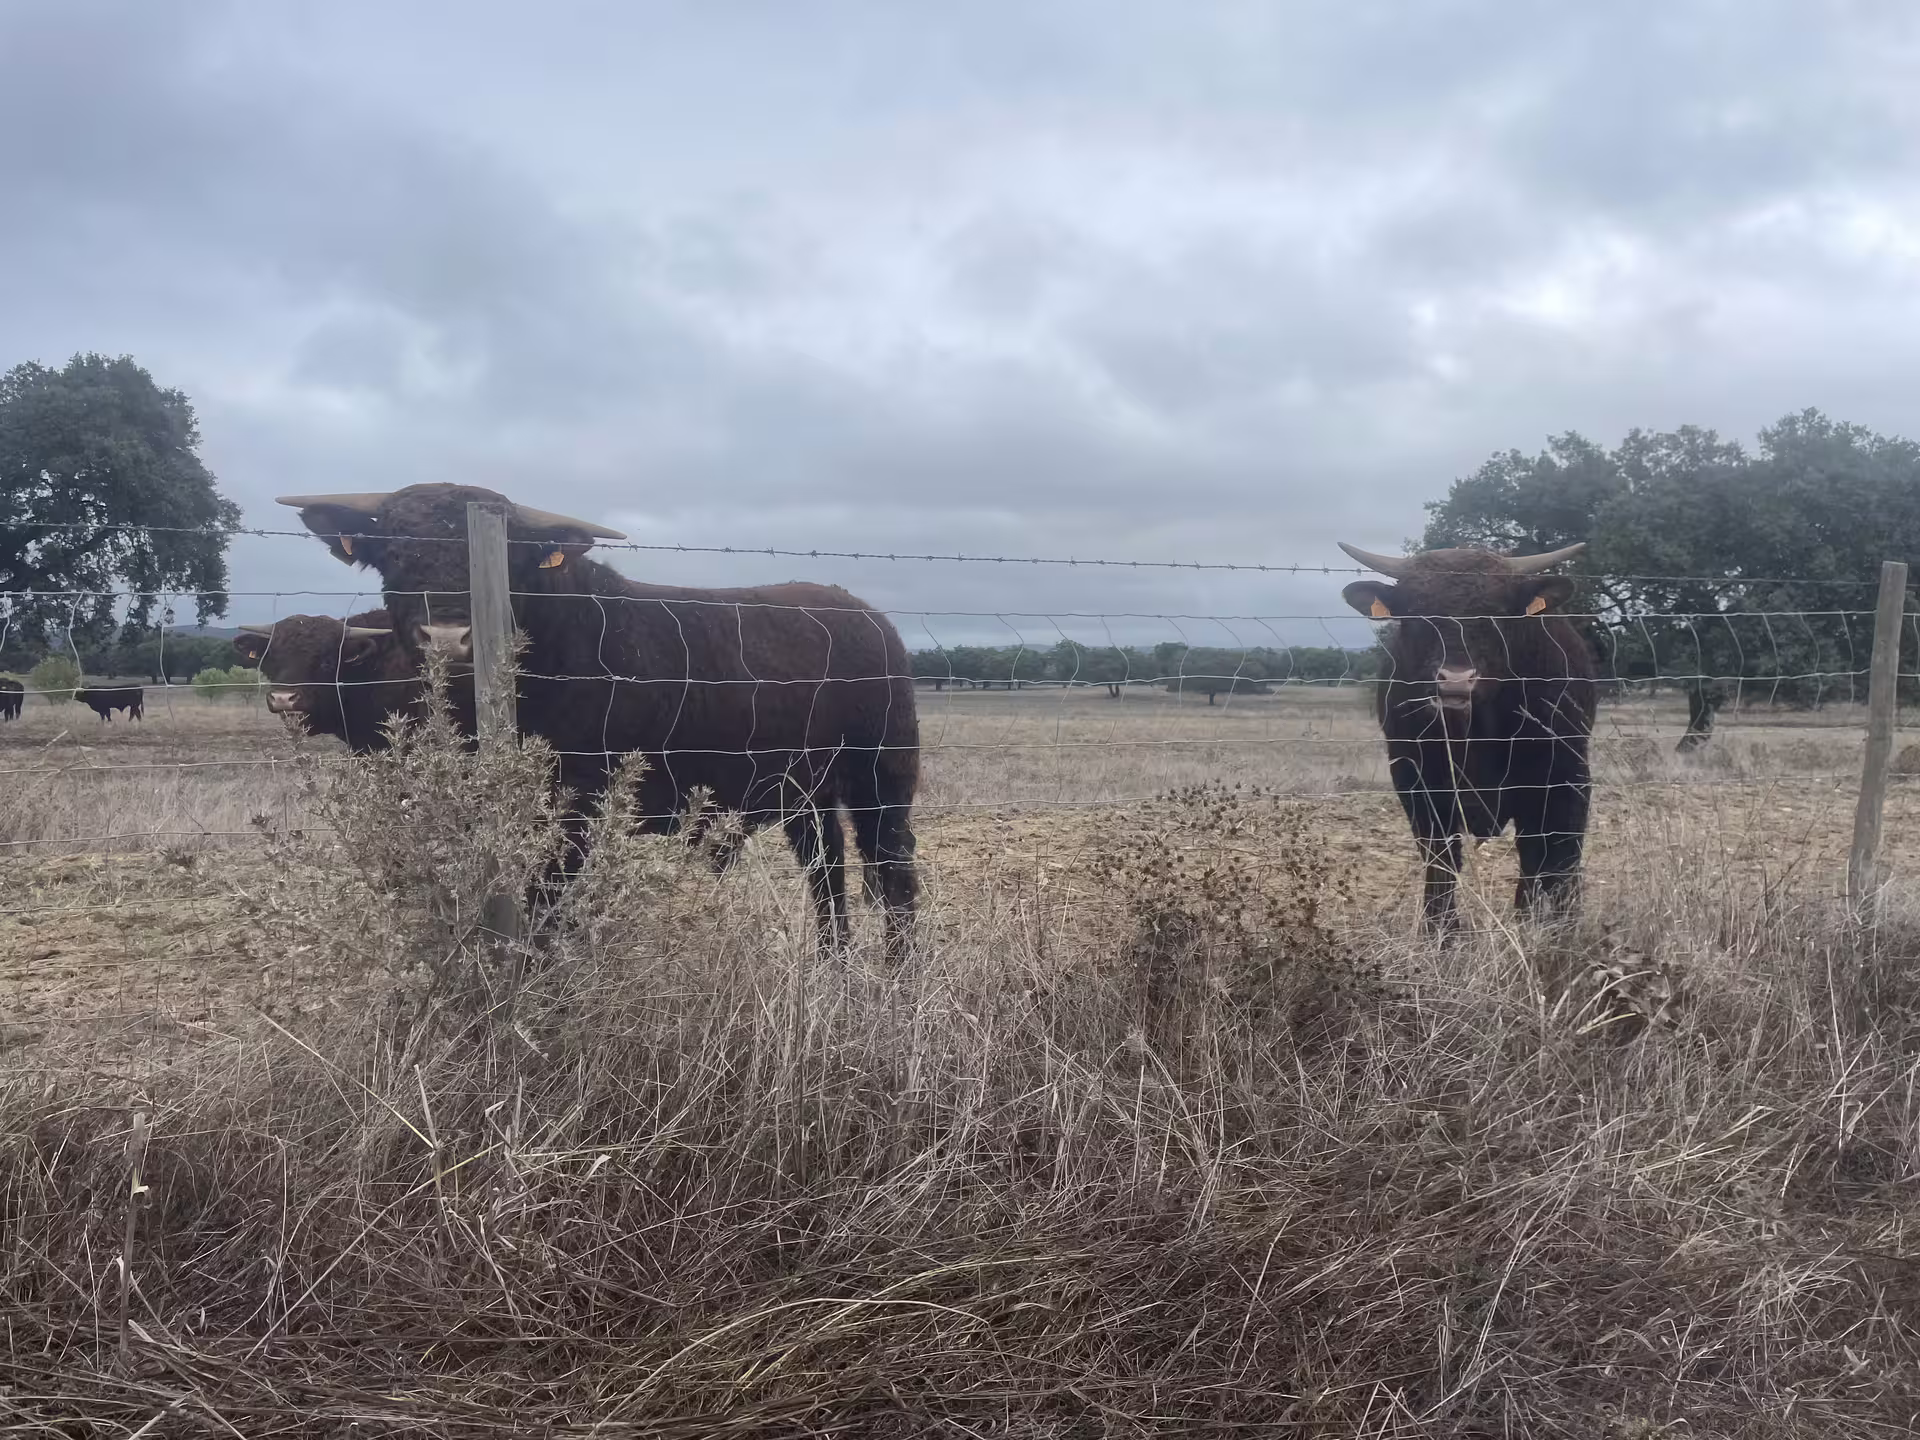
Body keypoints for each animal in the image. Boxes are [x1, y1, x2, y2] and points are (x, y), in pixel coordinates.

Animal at [277, 485, 921, 960]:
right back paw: (834, 965)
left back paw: (897, 977)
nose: (447, 637)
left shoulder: (574, 813)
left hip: (882, 781)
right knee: (827, 871)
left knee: (894, 876)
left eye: (509, 557)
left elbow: (547, 913)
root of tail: (871, 618)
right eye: (393, 550)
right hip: (806, 796)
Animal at [1339, 541, 1595, 933]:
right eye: (1415, 615)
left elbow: (1558, 858)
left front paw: (1559, 929)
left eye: (1498, 614)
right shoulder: (1417, 783)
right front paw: (1440, 931)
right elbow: (1441, 860)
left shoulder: (1566, 778)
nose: (1456, 680)